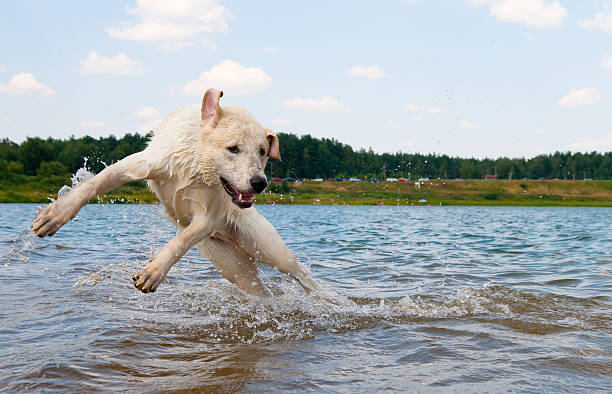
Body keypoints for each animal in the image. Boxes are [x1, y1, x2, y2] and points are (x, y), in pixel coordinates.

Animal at [32, 89, 322, 298]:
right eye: (233, 148)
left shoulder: (207, 218)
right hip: (233, 266)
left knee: (301, 274)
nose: (260, 183)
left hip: (267, 247)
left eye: (262, 151)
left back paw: (324, 300)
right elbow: (91, 186)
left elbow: (180, 241)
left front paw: (154, 272)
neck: (195, 167)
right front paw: (54, 215)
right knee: (261, 292)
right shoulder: (133, 166)